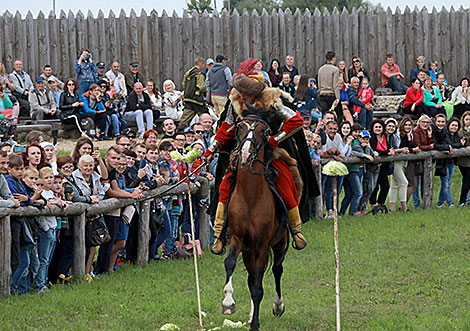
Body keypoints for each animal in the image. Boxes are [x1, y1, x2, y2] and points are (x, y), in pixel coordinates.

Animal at [221, 111, 290, 331]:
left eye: (263, 131)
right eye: (240, 127)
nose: (244, 154)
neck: (250, 197)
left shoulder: (261, 245)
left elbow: (259, 288)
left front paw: (256, 323)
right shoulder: (238, 239)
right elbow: (230, 262)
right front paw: (228, 303)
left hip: (279, 243)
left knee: (276, 270)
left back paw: (277, 306)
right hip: (249, 252)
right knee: (252, 278)